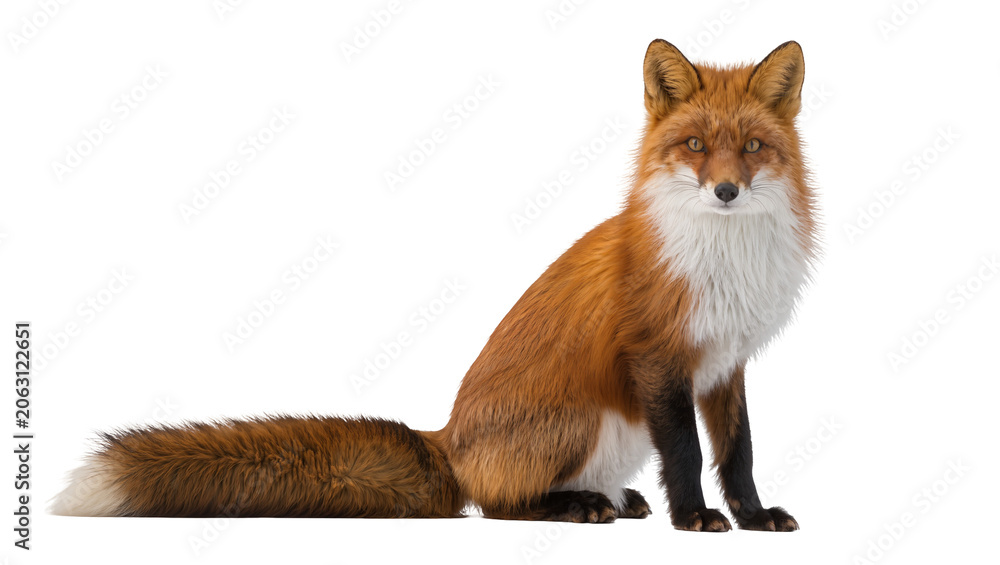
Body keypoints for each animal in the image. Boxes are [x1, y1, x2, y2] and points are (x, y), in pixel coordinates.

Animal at [53, 39, 816, 532]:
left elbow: (739, 451)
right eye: (695, 145)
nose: (724, 191)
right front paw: (694, 517)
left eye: (752, 147)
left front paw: (752, 516)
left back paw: (613, 498)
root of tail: (446, 439)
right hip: (584, 417)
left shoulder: (725, 362)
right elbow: (686, 452)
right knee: (497, 503)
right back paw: (575, 505)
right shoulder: (659, 357)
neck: (725, 256)